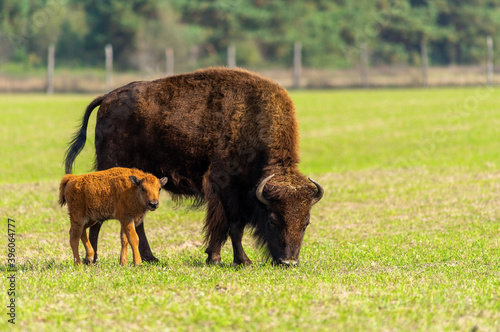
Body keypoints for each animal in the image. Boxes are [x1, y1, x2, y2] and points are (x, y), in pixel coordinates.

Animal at [65, 67, 324, 268]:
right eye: (273, 220)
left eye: (306, 222)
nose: (289, 262)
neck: (250, 120)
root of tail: (107, 98)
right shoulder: (225, 185)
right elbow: (233, 225)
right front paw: (241, 261)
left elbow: (222, 226)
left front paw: (214, 257)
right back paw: (93, 258)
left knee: (137, 221)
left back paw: (149, 258)